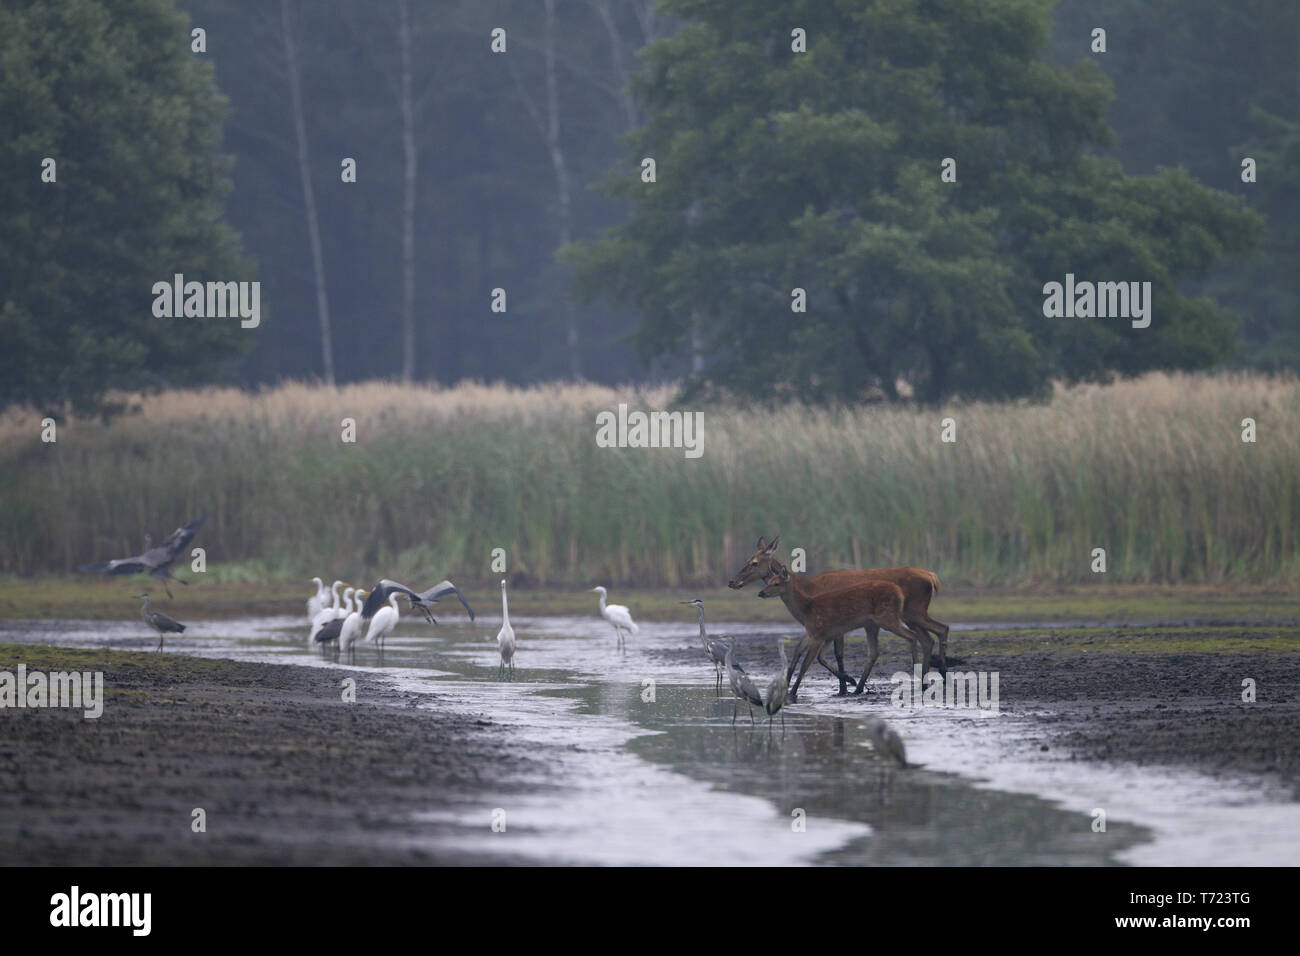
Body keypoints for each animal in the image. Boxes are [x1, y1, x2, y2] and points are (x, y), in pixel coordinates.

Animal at [733, 538, 946, 686]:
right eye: (747, 559)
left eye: (753, 562)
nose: (732, 581)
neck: (807, 590)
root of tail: (932, 577)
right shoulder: (817, 627)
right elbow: (801, 651)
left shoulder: (829, 623)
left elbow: (836, 654)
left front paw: (846, 684)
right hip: (911, 615)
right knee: (929, 638)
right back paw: (929, 678)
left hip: (913, 611)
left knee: (938, 630)